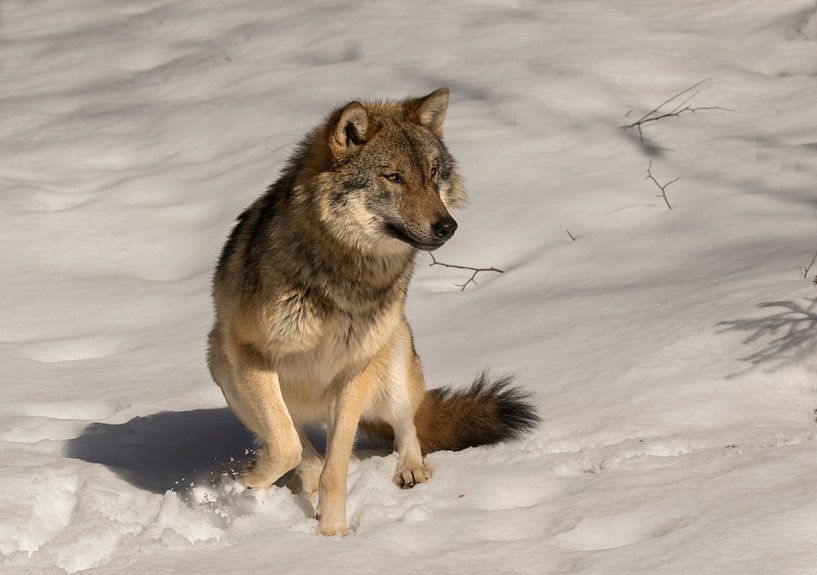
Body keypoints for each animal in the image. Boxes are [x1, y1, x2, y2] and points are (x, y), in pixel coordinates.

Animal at [207, 88, 539, 535]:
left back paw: (410, 470)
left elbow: (337, 467)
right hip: (222, 365)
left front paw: (333, 534)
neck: (347, 277)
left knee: (407, 426)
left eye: (433, 174)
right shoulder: (250, 356)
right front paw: (248, 483)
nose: (447, 227)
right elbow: (287, 445)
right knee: (297, 438)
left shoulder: (354, 368)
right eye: (393, 177)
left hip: (392, 358)